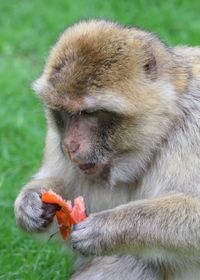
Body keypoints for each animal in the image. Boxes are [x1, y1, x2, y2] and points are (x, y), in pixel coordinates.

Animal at [14, 18, 200, 278]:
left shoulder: (193, 132)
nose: (70, 145)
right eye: (63, 113)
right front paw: (31, 200)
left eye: (90, 113)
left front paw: (108, 228)